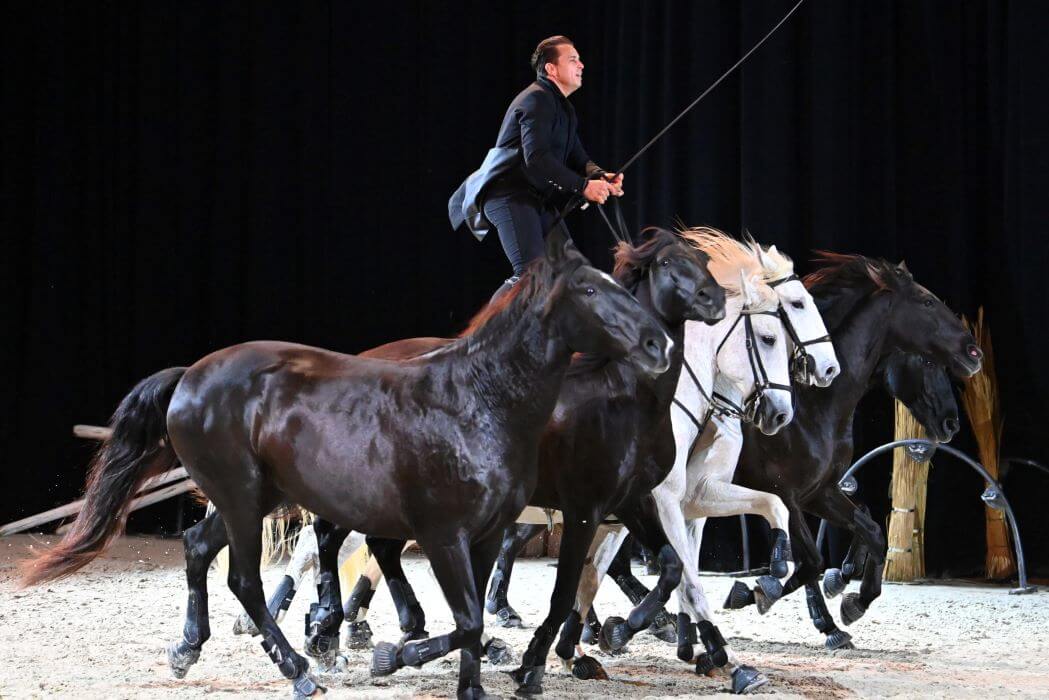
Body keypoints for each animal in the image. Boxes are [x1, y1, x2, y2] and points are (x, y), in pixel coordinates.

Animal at [22, 232, 671, 700]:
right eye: (589, 291)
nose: (658, 344)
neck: (477, 402)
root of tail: (190, 377)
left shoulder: (487, 537)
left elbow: (473, 622)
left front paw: (471, 684)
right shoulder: (444, 535)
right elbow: (464, 620)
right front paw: (390, 655)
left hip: (254, 498)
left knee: (198, 546)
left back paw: (189, 650)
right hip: (241, 497)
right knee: (244, 580)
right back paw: (301, 669)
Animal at [725, 257, 977, 650]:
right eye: (927, 303)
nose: (973, 353)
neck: (811, 403)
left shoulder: (819, 492)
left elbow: (871, 531)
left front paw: (849, 604)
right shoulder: (784, 494)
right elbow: (810, 561)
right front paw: (757, 594)